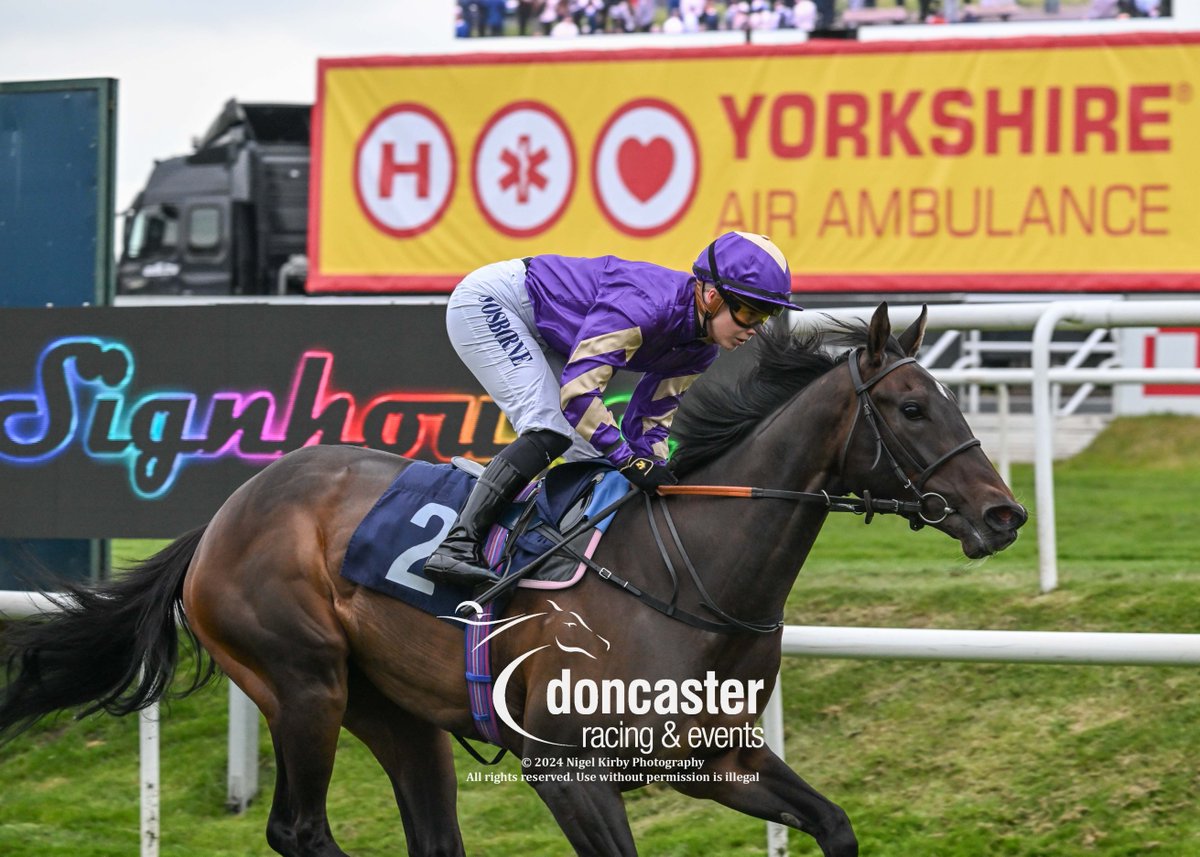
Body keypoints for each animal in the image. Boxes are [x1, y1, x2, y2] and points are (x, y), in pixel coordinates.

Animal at [2, 304, 1022, 854]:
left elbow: (835, 822)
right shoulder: (565, 770)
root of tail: (222, 518)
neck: (691, 577)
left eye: (952, 398)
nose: (1003, 513)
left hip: (395, 714)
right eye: (911, 407)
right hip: (301, 682)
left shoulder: (715, 758)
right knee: (299, 828)